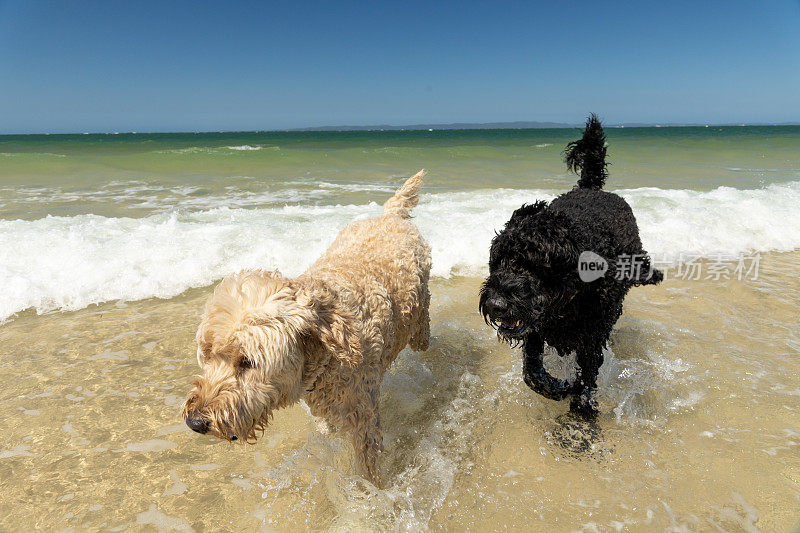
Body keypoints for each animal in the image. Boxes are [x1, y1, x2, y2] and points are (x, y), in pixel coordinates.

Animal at [182, 170, 432, 482]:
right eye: (208, 355)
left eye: (247, 362)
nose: (195, 422)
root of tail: (389, 216)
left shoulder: (364, 421)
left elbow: (367, 468)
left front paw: (372, 491)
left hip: (420, 320)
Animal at [482, 115, 664, 416]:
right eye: (498, 260)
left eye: (535, 265)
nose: (495, 304)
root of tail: (591, 188)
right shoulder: (536, 330)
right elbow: (532, 371)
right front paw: (556, 387)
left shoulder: (592, 338)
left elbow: (586, 379)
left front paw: (581, 406)